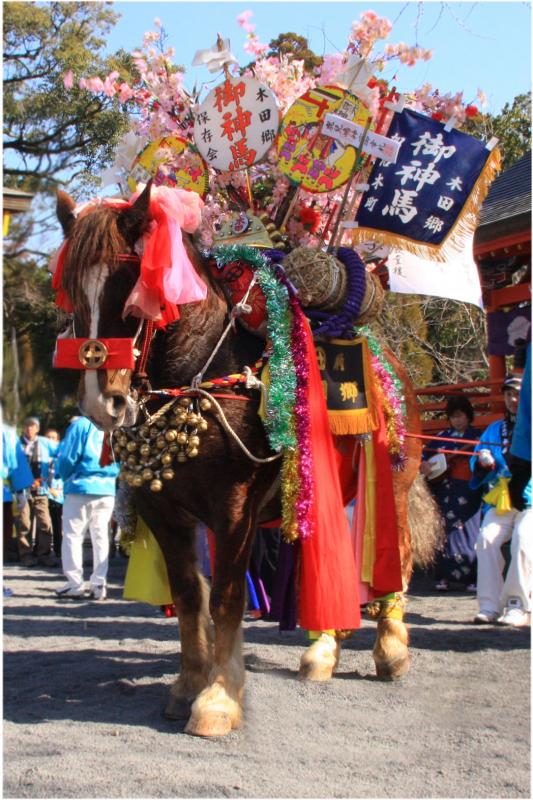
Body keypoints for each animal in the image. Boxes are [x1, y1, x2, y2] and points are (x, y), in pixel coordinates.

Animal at [53, 181, 428, 736]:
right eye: (74, 291)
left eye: (132, 287)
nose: (104, 402)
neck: (198, 375)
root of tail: (393, 367)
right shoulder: (163, 511)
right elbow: (190, 594)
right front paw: (189, 683)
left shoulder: (233, 510)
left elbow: (227, 597)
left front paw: (219, 699)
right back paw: (325, 649)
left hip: (393, 484)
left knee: (393, 560)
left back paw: (391, 649)